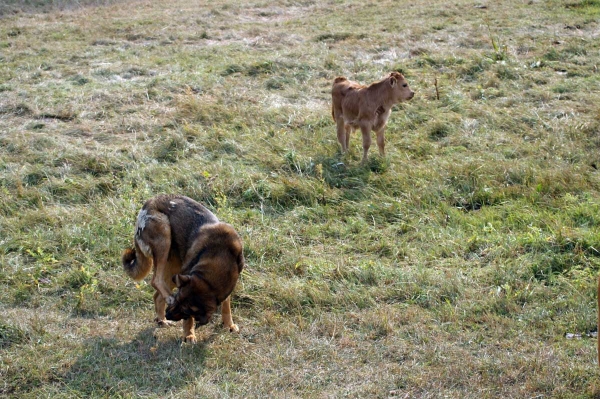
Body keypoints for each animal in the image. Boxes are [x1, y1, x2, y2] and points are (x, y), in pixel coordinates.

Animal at [122, 195, 244, 344]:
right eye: (178, 299)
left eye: (186, 311)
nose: (168, 314)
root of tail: (148, 202)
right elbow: (189, 322)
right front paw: (189, 335)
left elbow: (226, 306)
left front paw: (229, 325)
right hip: (164, 235)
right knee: (155, 280)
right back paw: (166, 305)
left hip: (174, 268)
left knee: (157, 294)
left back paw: (162, 320)